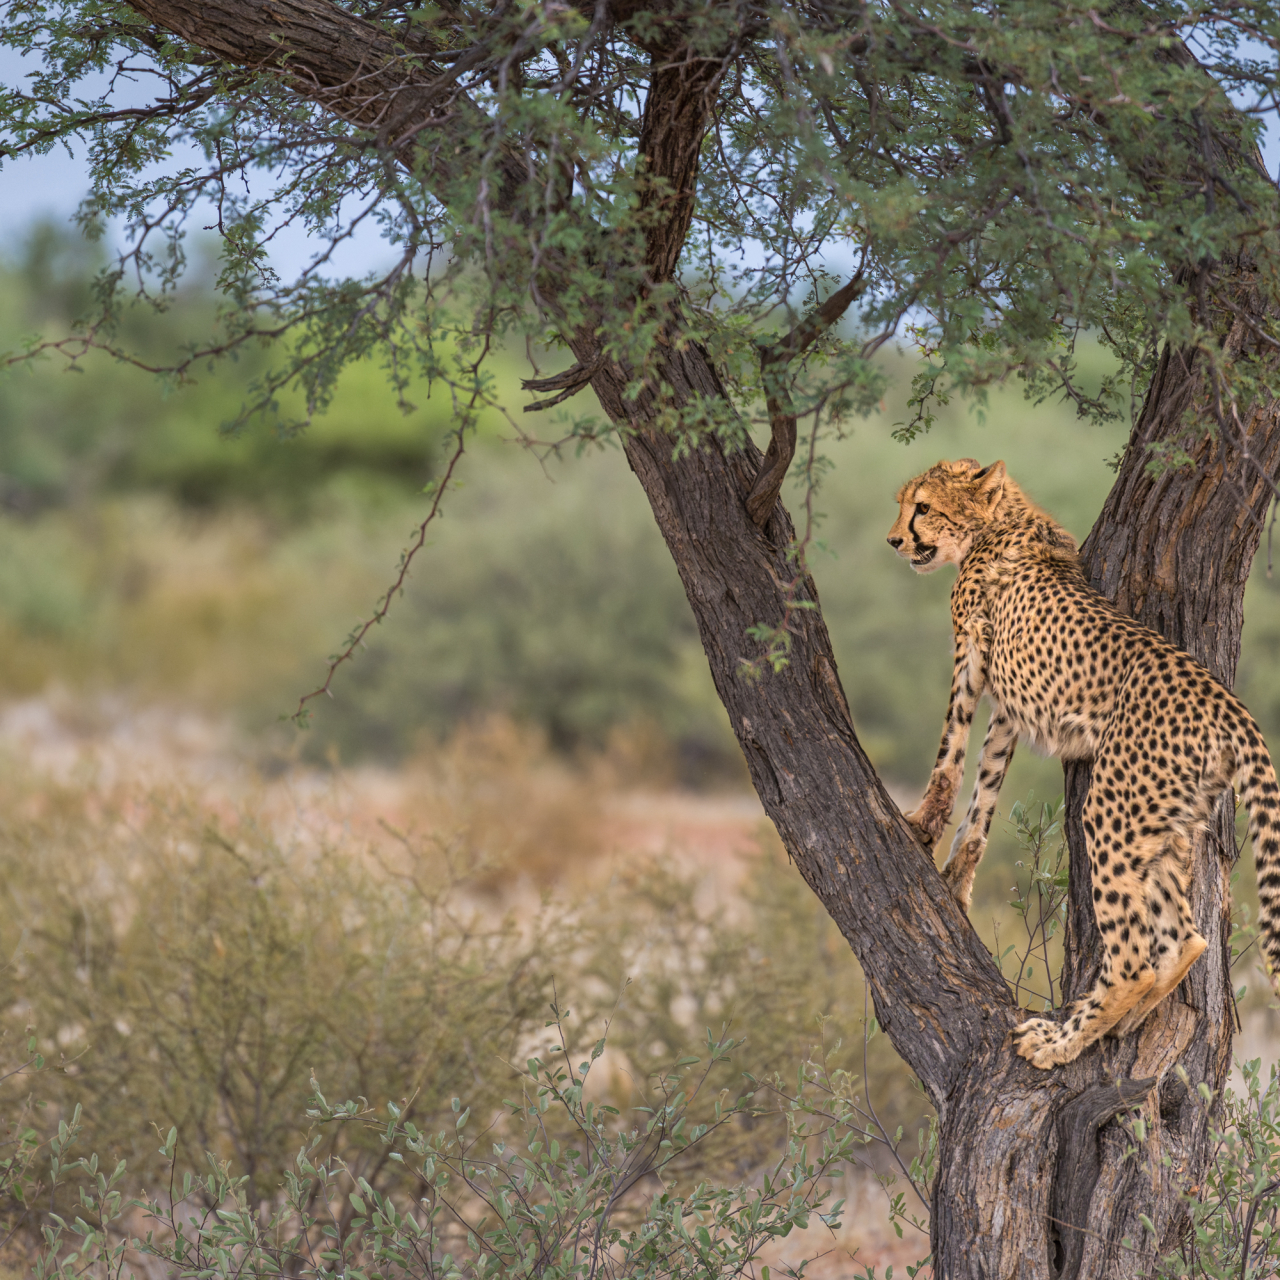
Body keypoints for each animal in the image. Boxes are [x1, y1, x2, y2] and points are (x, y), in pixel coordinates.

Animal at [887, 457, 1280, 1069]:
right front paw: (956, 880)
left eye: (922, 506)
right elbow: (986, 787)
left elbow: (951, 749)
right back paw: (1125, 1021)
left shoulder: (971, 654)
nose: (894, 540)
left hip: (1112, 813)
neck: (999, 519)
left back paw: (1058, 1043)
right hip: (1168, 822)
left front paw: (923, 824)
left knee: (1131, 961)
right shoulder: (1010, 704)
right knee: (1186, 939)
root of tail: (1227, 703)